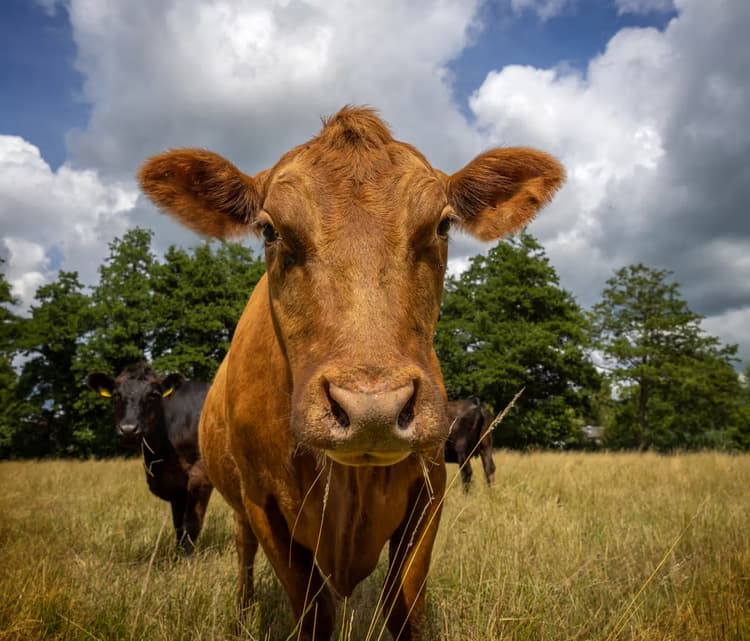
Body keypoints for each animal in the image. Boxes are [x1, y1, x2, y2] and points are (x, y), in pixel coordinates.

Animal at [86, 362, 212, 556]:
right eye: (116, 395)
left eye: (154, 394)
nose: (128, 429)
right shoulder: (175, 485)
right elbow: (178, 525)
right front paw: (176, 557)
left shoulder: (200, 474)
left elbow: (191, 523)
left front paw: (187, 560)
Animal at [138, 106, 563, 640]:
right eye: (269, 230)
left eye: (443, 225)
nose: (372, 411)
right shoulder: (263, 506)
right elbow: (313, 612)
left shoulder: (430, 491)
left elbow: (404, 609)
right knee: (243, 553)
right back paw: (243, 609)